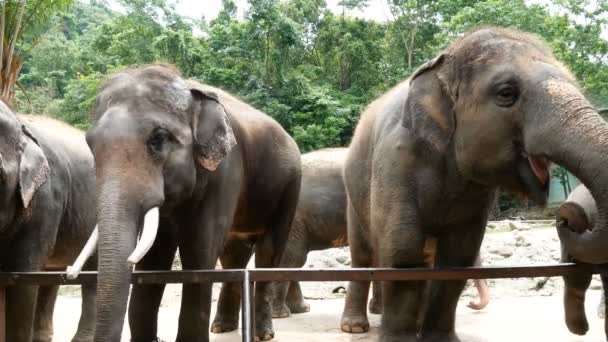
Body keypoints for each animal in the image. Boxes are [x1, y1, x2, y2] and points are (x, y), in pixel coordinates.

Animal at [73, 64, 302, 342]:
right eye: (90, 144)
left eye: (158, 139)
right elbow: (154, 258)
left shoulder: (226, 170)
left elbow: (199, 250)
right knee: (233, 254)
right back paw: (222, 327)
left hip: (289, 186)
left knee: (269, 251)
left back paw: (263, 333)